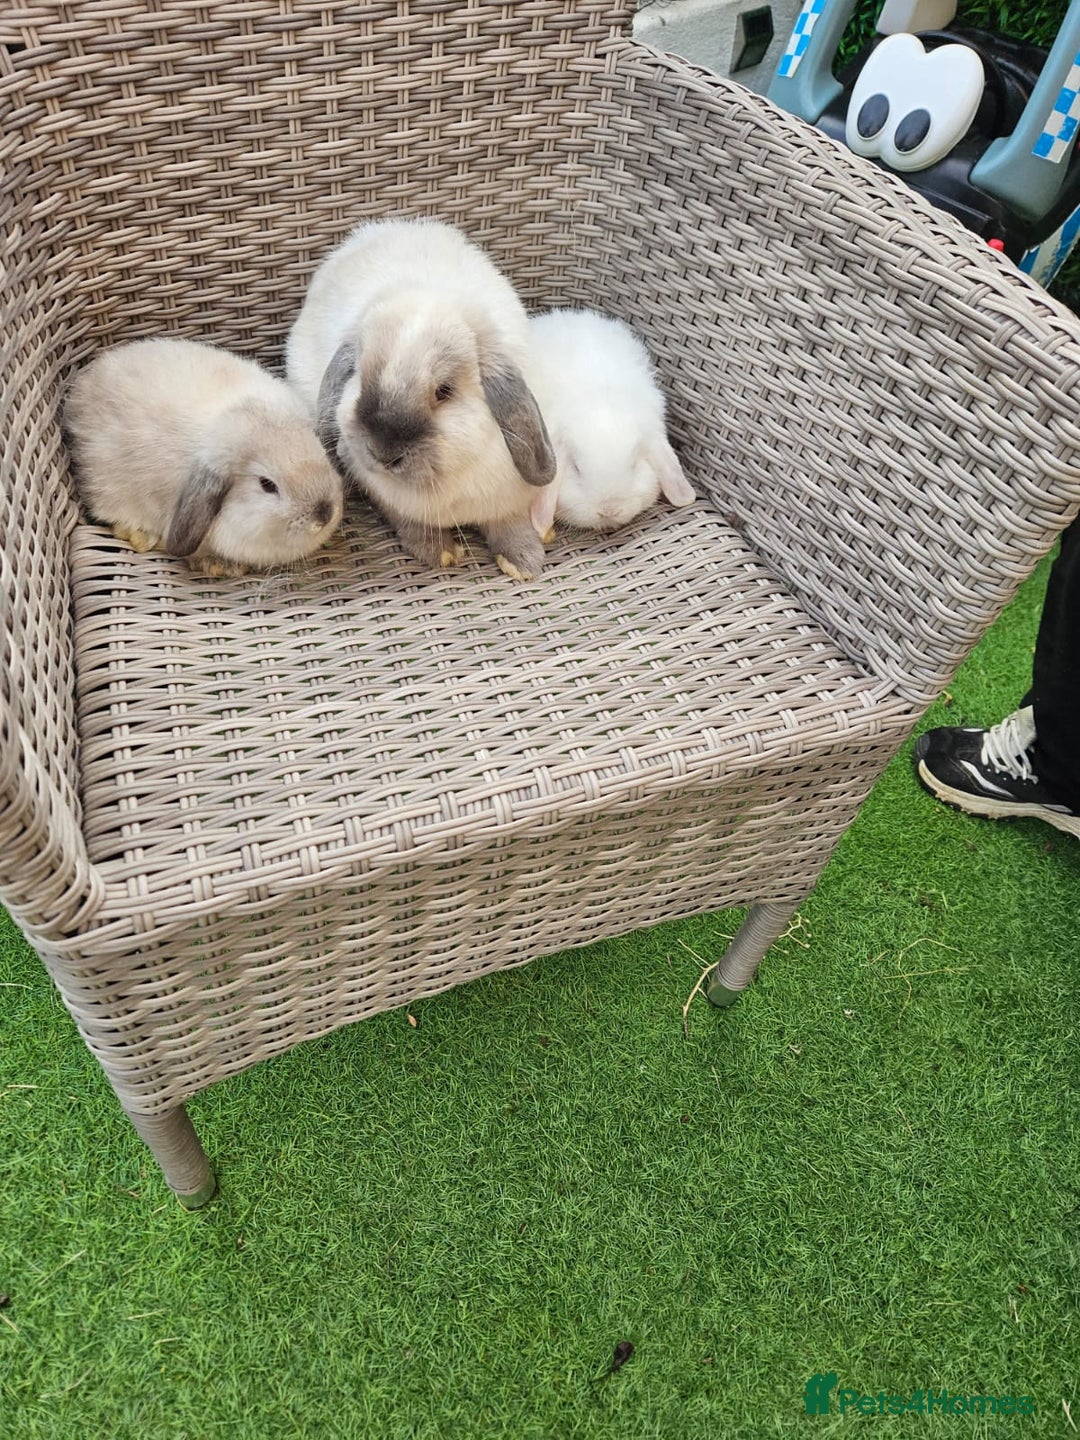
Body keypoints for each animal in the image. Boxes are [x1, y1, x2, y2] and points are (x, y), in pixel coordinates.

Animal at [286, 217, 556, 581]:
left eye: (444, 391)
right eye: (360, 376)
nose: (383, 453)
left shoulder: (506, 498)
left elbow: (509, 523)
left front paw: (523, 562)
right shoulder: (390, 498)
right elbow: (410, 521)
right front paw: (438, 552)